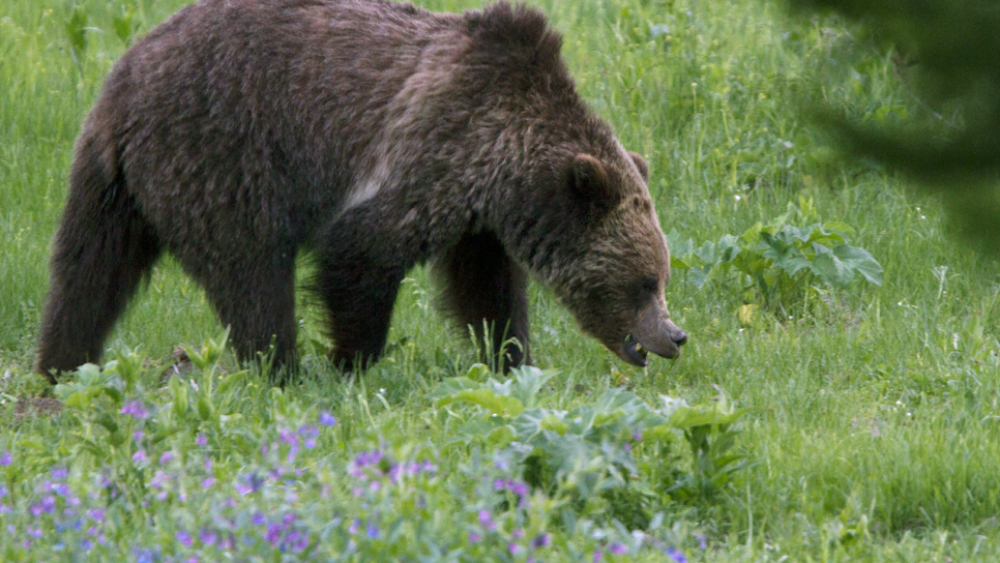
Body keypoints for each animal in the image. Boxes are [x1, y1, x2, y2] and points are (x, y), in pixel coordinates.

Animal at [35, 0, 687, 383]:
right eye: (643, 281)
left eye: (661, 276)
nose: (674, 336)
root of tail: (123, 85)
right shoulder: (433, 146)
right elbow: (361, 250)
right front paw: (352, 362)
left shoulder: (478, 215)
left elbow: (486, 289)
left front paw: (512, 358)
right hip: (219, 154)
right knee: (253, 273)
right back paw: (282, 368)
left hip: (113, 187)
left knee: (88, 274)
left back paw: (60, 366)